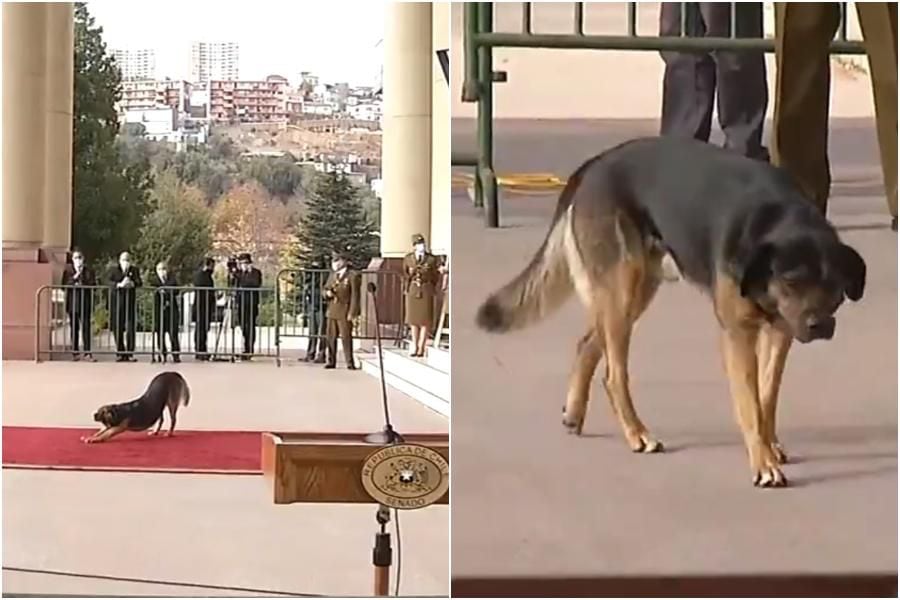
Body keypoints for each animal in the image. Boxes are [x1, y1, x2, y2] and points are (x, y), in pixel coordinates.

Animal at [478, 136, 864, 488]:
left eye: (834, 284)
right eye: (792, 281)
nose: (819, 326)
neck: (776, 221)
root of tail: (596, 163)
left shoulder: (781, 331)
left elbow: (766, 396)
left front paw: (770, 445)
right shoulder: (738, 334)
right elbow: (750, 404)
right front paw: (763, 463)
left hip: (636, 292)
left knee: (587, 343)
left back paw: (575, 413)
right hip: (623, 289)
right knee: (614, 375)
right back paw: (637, 433)